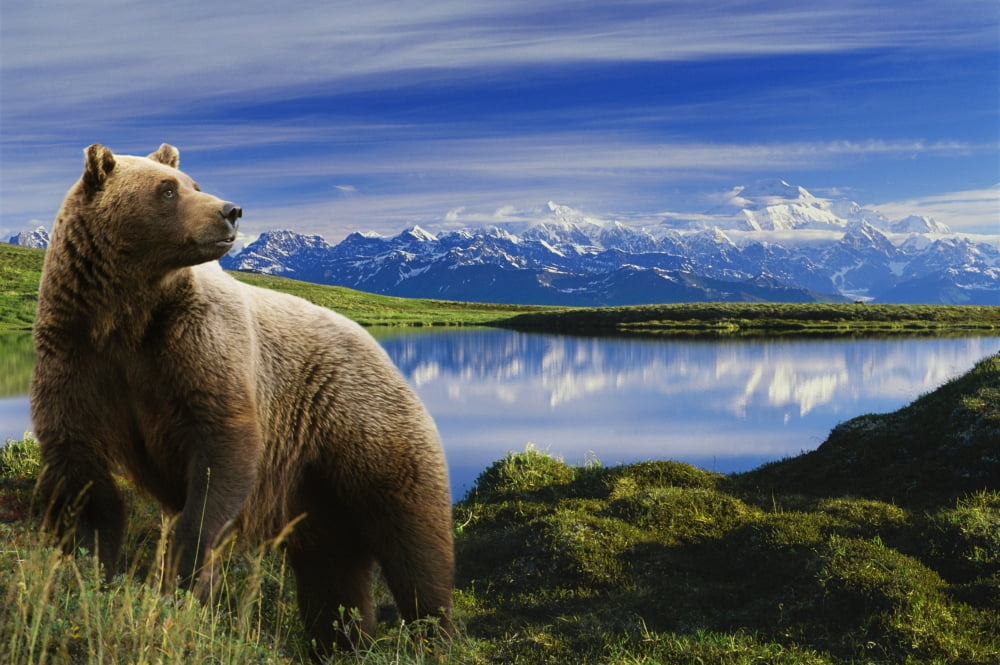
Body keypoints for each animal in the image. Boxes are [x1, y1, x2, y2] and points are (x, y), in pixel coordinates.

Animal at [31, 143, 454, 656]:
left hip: (366, 432)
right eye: (167, 190)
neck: (128, 311)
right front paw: (90, 571)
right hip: (316, 492)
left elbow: (222, 453)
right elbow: (82, 472)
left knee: (414, 545)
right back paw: (344, 642)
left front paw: (184, 578)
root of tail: (387, 355)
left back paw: (431, 636)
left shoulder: (198, 347)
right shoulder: (77, 354)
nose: (230, 211)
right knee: (333, 575)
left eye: (192, 182)